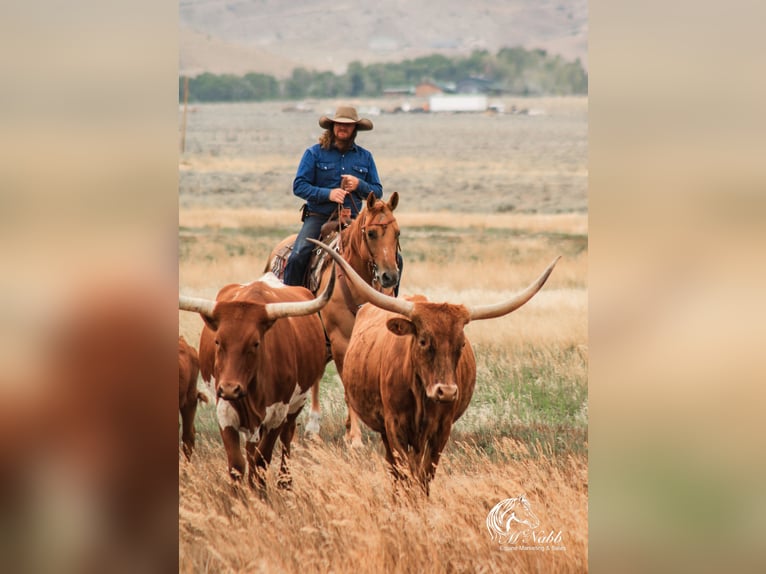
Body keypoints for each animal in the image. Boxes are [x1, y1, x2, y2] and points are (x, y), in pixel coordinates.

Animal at [182, 272, 338, 488]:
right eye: (218, 341)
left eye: (255, 343)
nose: (230, 389)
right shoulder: (225, 411)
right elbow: (237, 464)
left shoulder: (278, 413)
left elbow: (261, 461)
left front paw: (260, 492)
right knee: (251, 448)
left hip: (297, 402)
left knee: (287, 435)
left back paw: (285, 481)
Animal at [266, 191, 402, 448]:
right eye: (371, 233)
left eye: (397, 232)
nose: (389, 276)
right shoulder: (340, 340)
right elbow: (348, 388)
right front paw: (355, 438)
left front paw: (352, 431)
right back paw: (297, 435)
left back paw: (313, 429)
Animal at [308, 241, 560, 498]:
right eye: (423, 341)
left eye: (460, 344)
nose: (446, 392)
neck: (421, 395)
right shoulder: (395, 426)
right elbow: (404, 472)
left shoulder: (441, 430)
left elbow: (424, 475)